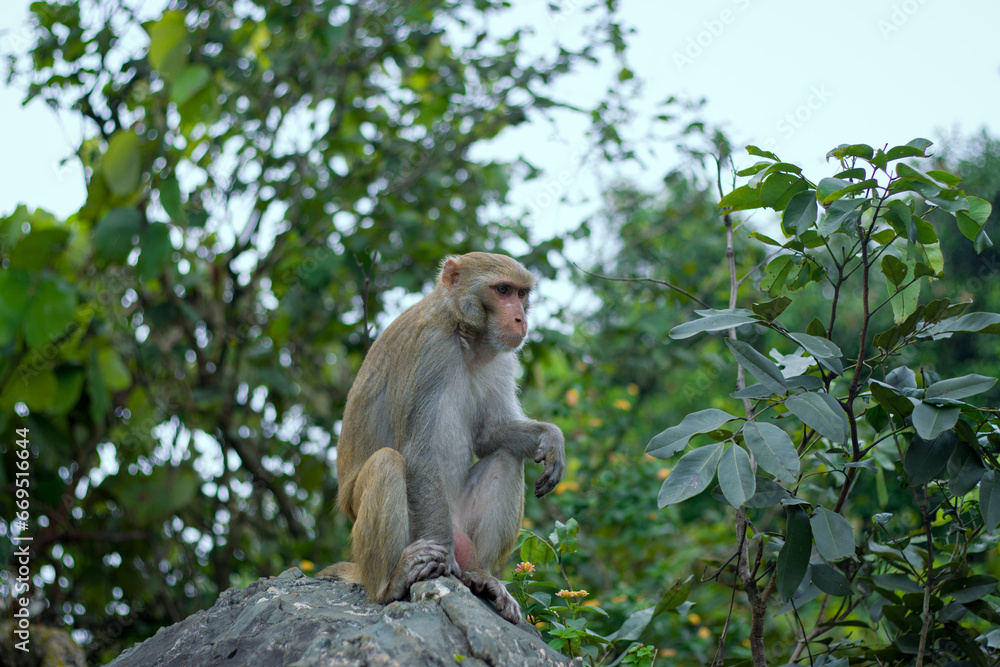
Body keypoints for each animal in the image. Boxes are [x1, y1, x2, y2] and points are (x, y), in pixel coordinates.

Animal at [318, 252, 566, 624]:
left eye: (521, 293)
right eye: (502, 290)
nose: (520, 318)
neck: (463, 333)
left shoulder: (502, 357)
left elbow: (490, 436)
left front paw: (552, 438)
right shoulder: (429, 350)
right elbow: (419, 454)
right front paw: (444, 560)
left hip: (461, 527)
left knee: (507, 457)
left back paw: (482, 575)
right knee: (387, 462)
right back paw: (390, 583)